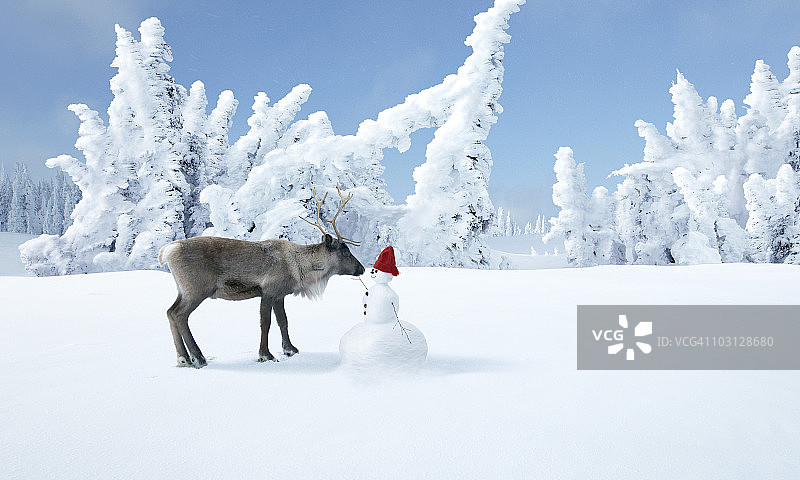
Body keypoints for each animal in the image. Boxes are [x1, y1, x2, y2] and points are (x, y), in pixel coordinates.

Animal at [158, 185, 365, 368]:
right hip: (197, 289)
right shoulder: (268, 291)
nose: (362, 269)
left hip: (182, 290)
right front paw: (266, 354)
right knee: (179, 315)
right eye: (345, 251)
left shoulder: (280, 295)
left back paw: (183, 358)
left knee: (169, 312)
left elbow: (283, 321)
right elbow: (266, 323)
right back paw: (198, 358)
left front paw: (290, 349)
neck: (300, 268)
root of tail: (167, 251)